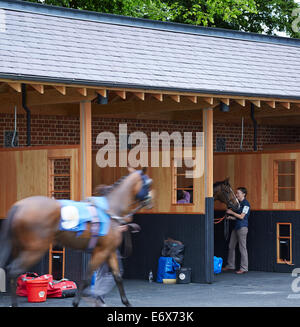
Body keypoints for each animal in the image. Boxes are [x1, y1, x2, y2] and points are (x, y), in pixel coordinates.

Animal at [0, 168, 154, 308]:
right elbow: (87, 277)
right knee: (14, 270)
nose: (151, 200)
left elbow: (117, 277)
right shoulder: (101, 251)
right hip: (34, 250)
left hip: (19, 247)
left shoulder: (109, 251)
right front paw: (76, 302)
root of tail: (19, 206)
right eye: (148, 183)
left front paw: (126, 303)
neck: (110, 210)